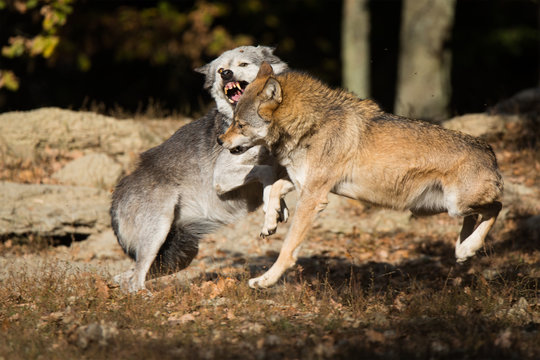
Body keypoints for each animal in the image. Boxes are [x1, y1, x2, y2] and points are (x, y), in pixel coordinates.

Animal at [111, 46, 288, 292]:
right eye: (221, 69)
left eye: (243, 64)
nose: (226, 75)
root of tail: (116, 195)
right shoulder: (221, 177)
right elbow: (266, 173)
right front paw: (270, 209)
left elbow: (276, 182)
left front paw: (278, 209)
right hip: (158, 234)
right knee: (135, 280)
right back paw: (146, 296)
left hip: (180, 255)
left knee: (126, 276)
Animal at [217, 61, 504, 286]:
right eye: (233, 121)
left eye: (240, 124)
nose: (220, 140)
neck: (312, 125)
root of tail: (490, 151)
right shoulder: (304, 184)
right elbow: (275, 187)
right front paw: (271, 220)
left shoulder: (314, 197)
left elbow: (287, 247)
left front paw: (266, 280)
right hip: (443, 208)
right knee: (478, 216)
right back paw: (463, 250)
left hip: (456, 204)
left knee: (496, 207)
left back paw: (468, 247)